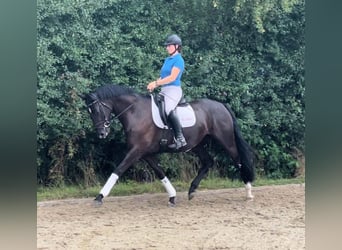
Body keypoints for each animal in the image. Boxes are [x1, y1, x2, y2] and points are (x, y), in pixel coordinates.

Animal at [82, 84, 254, 205]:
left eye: (96, 110)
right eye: (90, 112)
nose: (101, 134)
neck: (135, 112)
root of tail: (221, 105)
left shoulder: (136, 151)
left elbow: (118, 170)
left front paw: (99, 196)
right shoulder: (146, 153)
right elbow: (160, 172)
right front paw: (172, 196)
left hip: (226, 140)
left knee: (238, 161)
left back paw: (249, 192)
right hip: (196, 144)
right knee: (208, 162)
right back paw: (192, 190)